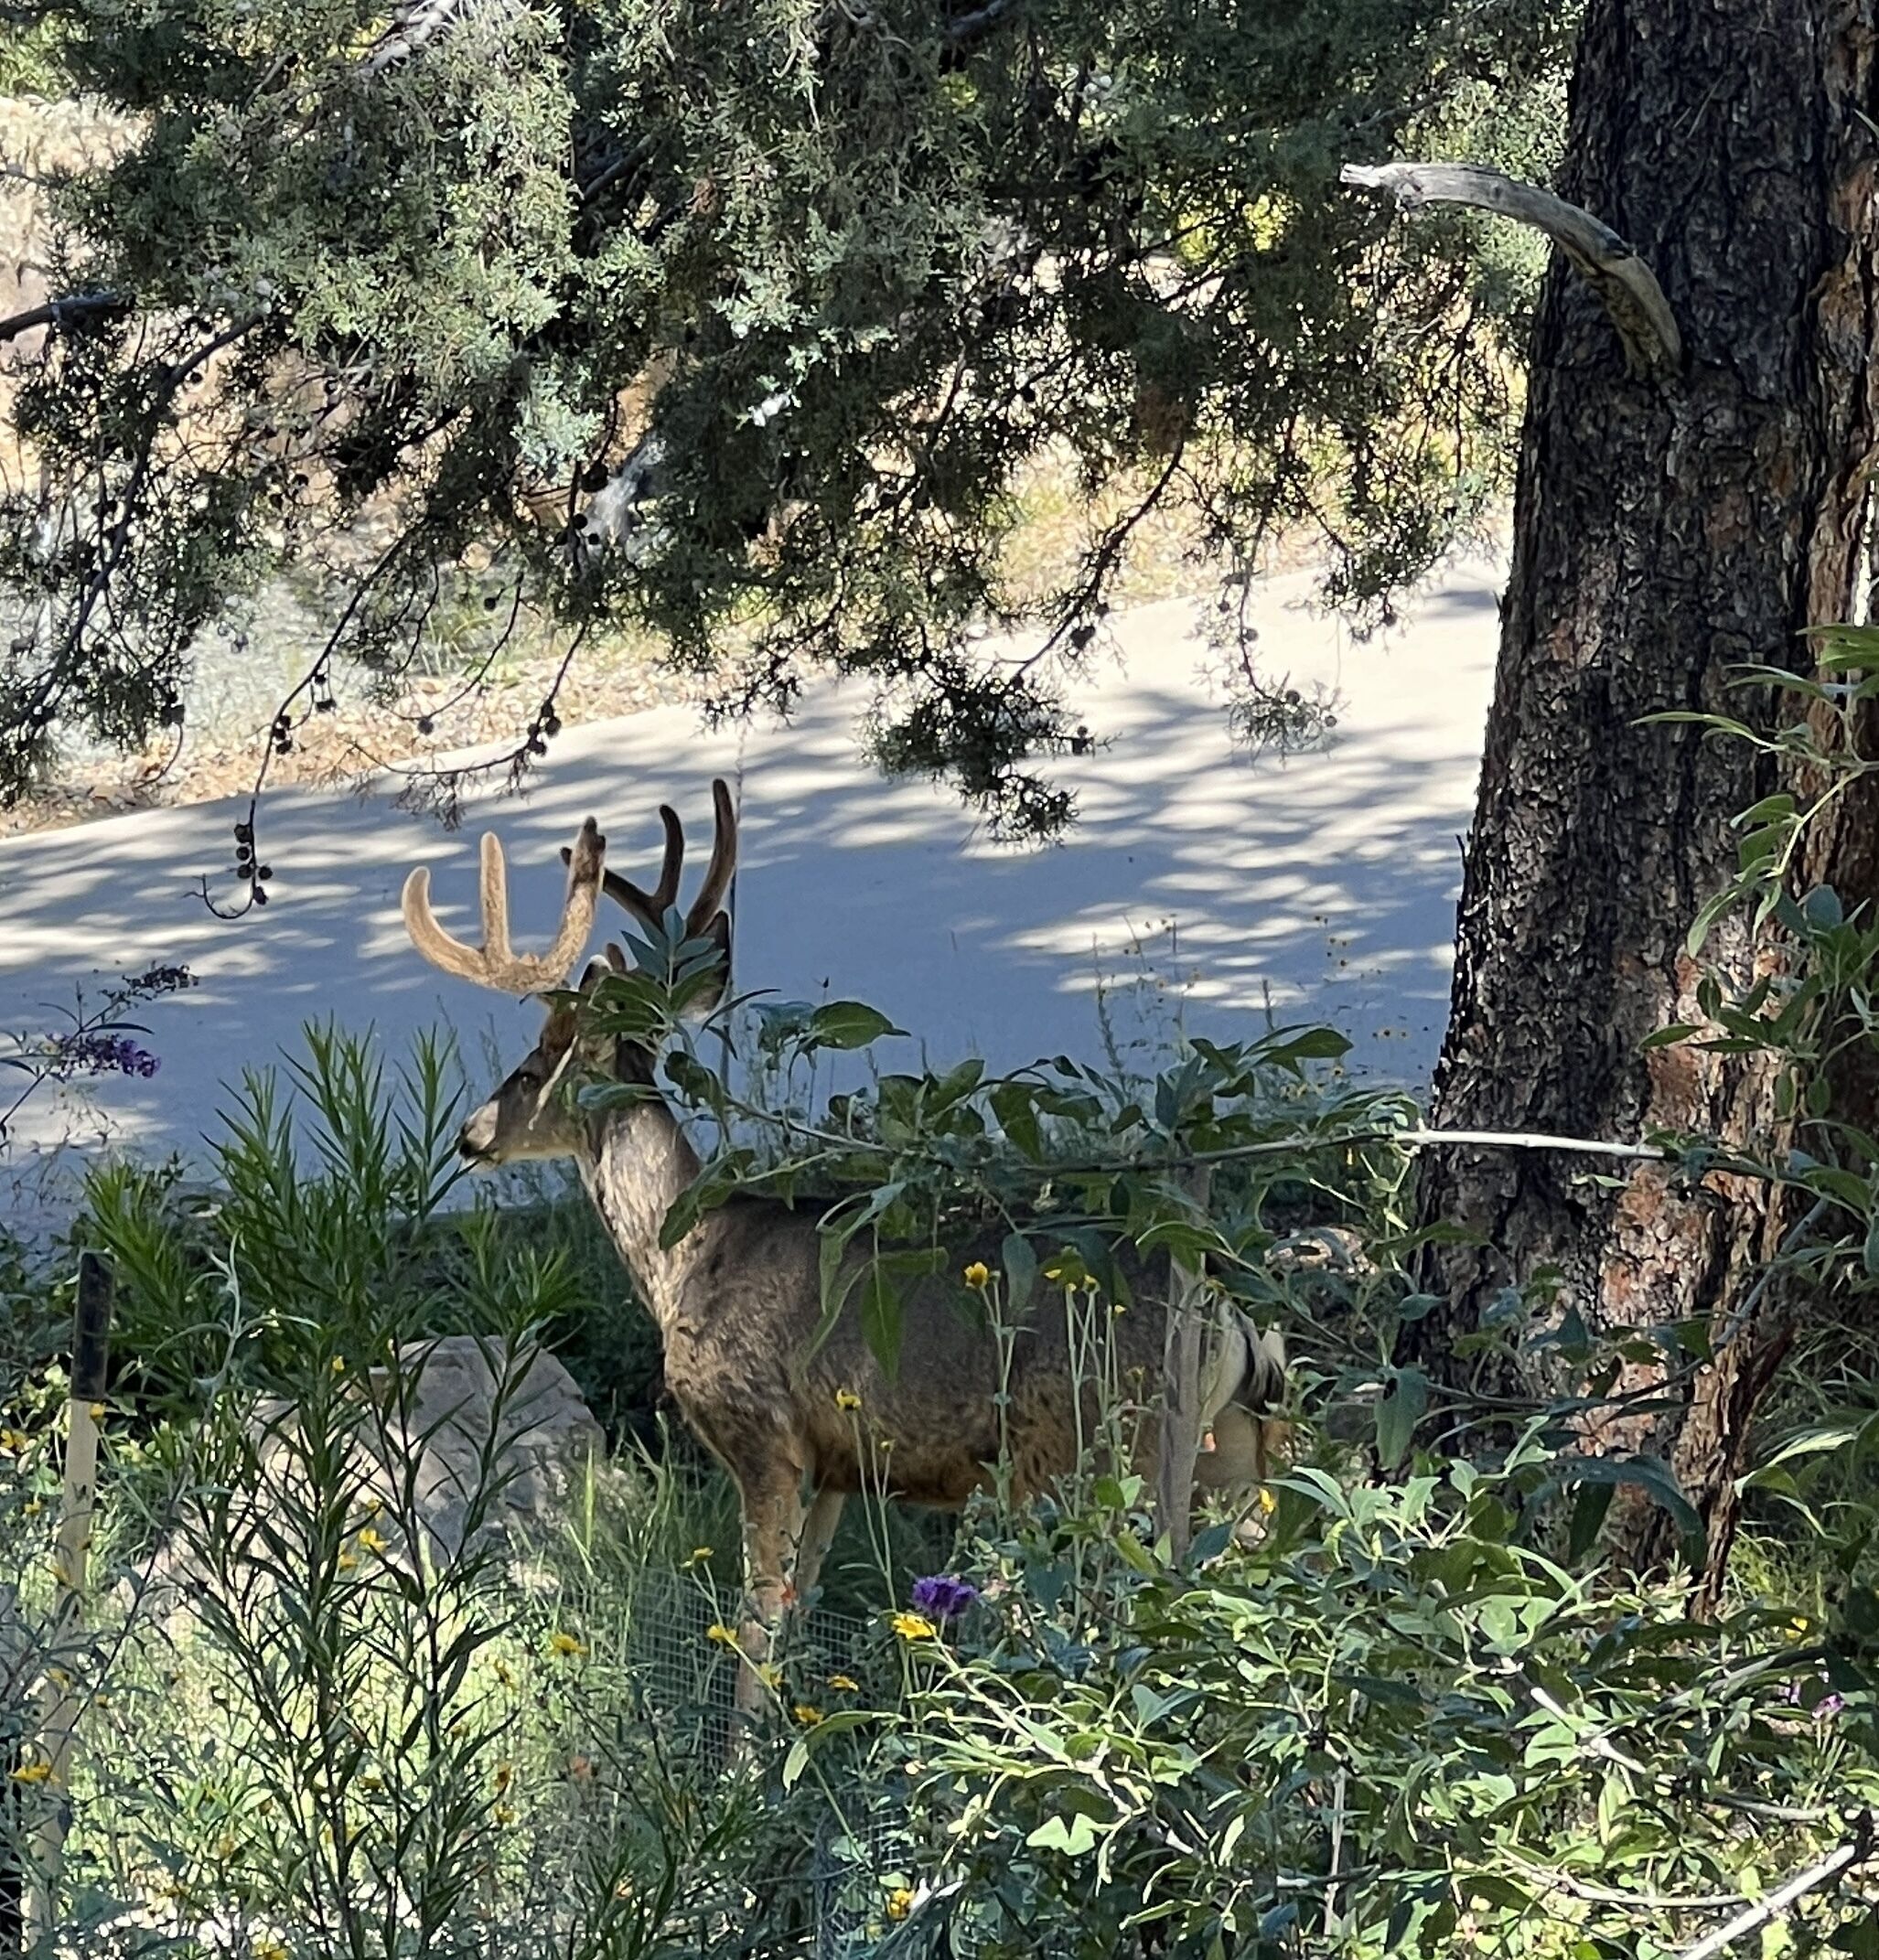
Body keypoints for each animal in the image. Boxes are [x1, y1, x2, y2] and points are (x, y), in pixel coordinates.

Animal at [401, 782, 1288, 1719]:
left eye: (536, 1065)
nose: (469, 1136)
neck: (687, 1260)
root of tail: (1227, 1300)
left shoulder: (763, 1433)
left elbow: (755, 1635)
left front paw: (747, 1755)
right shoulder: (835, 1467)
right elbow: (796, 1618)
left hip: (1101, 1444)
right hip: (1237, 1449)